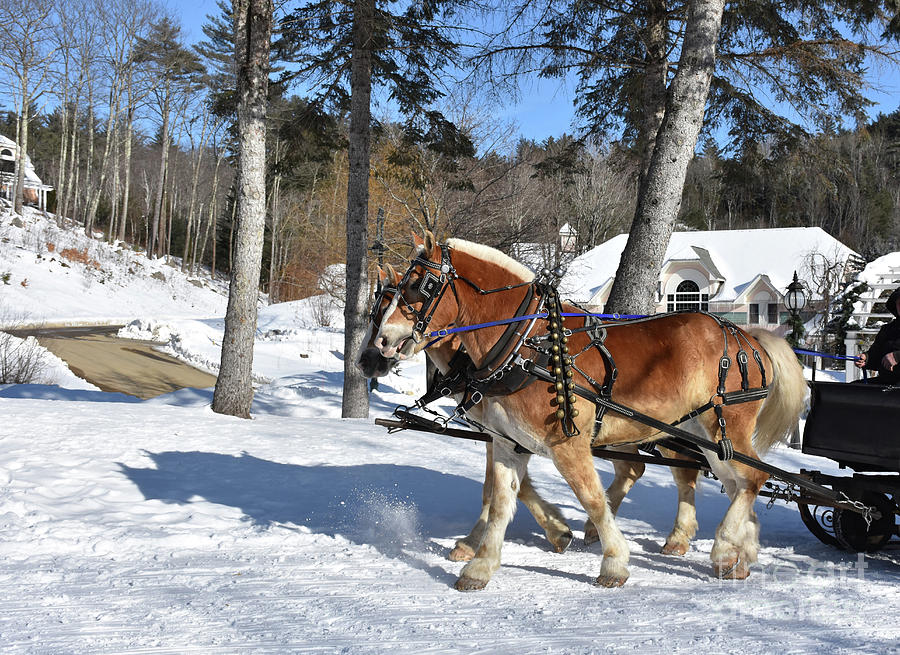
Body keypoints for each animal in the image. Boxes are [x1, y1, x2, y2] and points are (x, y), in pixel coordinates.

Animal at [358, 266, 704, 564]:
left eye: (384, 309)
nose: (366, 359)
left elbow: (498, 488)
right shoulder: (501, 432)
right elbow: (506, 486)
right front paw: (552, 529)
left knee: (682, 471)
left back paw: (675, 537)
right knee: (638, 468)